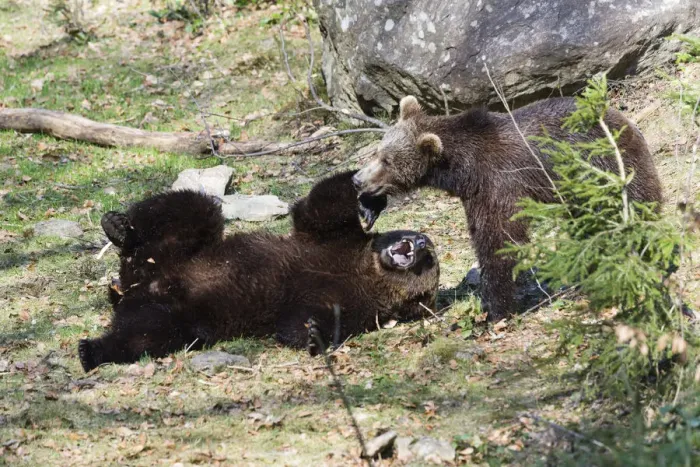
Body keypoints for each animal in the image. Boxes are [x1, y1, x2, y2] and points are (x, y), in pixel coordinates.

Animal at [78, 170, 440, 372]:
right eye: (429, 249)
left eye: (431, 261)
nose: (422, 242)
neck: (365, 271)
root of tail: (136, 284)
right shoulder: (333, 242)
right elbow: (320, 207)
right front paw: (369, 200)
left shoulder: (355, 304)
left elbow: (301, 321)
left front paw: (312, 331)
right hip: (178, 252)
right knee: (190, 208)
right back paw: (118, 227)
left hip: (176, 312)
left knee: (146, 335)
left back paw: (92, 351)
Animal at [352, 96, 663, 323]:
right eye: (378, 152)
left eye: (388, 161)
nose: (357, 180)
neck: (463, 169)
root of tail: (619, 114)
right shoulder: (476, 192)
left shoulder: (499, 182)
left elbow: (499, 239)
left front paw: (495, 309)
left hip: (606, 163)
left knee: (638, 200)